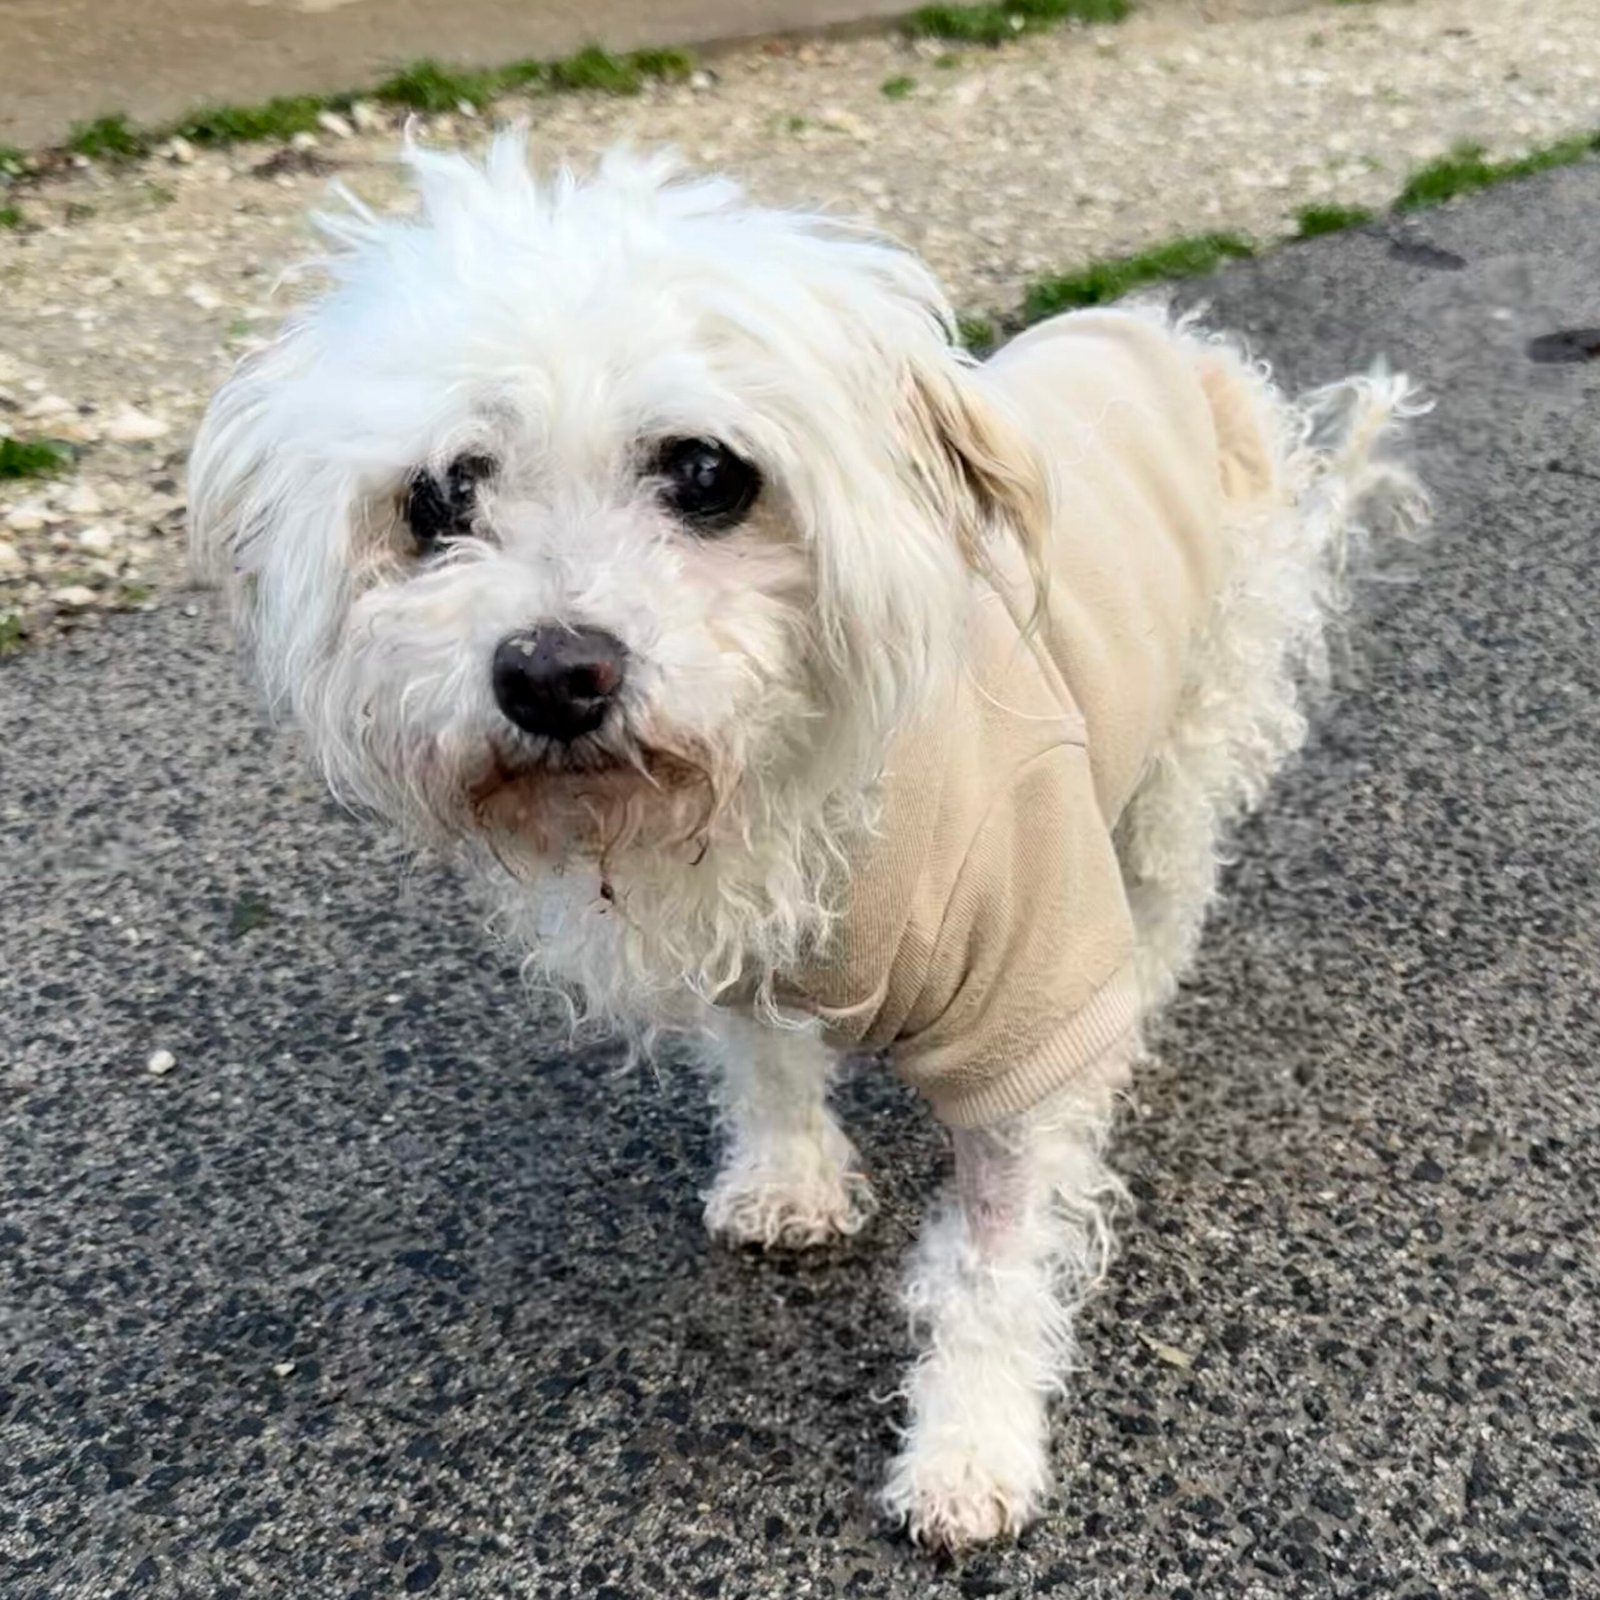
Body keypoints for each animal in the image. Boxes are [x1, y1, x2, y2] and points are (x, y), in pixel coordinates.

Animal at [189, 136, 1427, 1548]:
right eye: (439, 498)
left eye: (706, 473)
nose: (551, 673)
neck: (793, 792)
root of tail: (1168, 333)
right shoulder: (746, 941)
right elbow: (767, 1061)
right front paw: (789, 1176)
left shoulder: (1028, 1021)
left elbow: (996, 1264)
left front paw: (969, 1442)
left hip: (1194, 730)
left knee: (1171, 879)